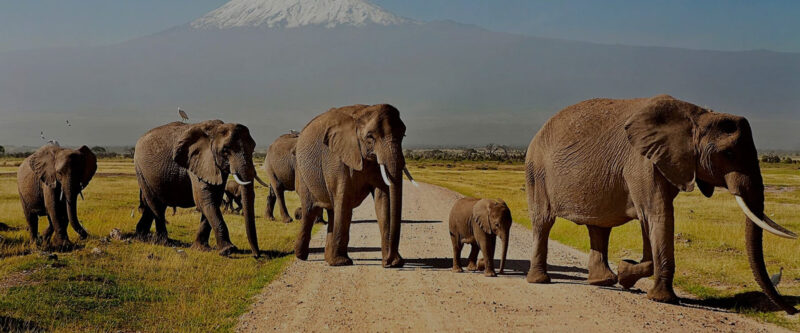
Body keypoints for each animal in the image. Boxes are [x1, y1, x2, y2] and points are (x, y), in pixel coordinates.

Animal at [133, 120, 260, 255]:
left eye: (253, 149)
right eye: (225, 150)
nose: (256, 255)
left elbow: (213, 200)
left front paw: (201, 248)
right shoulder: (197, 162)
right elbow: (205, 201)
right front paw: (228, 250)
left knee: (154, 205)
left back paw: (142, 237)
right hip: (141, 171)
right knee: (155, 204)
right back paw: (164, 242)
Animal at [296, 104, 418, 268]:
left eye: (403, 135)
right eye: (370, 137)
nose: (389, 261)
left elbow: (383, 199)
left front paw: (393, 263)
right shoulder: (337, 158)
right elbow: (344, 199)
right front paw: (342, 263)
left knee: (332, 210)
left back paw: (328, 258)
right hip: (303, 174)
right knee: (310, 211)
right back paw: (302, 256)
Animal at [528, 94, 796, 312]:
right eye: (728, 154)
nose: (793, 311)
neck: (698, 116)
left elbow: (651, 221)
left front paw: (626, 274)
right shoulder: (641, 162)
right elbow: (658, 215)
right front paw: (659, 297)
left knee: (600, 228)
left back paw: (602, 281)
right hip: (536, 173)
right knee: (544, 222)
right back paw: (541, 281)